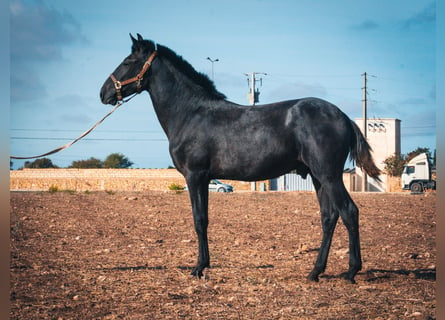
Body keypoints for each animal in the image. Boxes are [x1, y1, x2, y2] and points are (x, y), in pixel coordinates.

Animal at [99, 33, 378, 282]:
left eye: (128, 61)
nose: (103, 93)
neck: (190, 113)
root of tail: (342, 116)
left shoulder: (195, 176)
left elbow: (200, 220)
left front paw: (199, 268)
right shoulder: (204, 178)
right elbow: (203, 219)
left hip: (329, 176)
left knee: (349, 212)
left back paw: (351, 272)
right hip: (318, 178)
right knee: (329, 217)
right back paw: (315, 272)